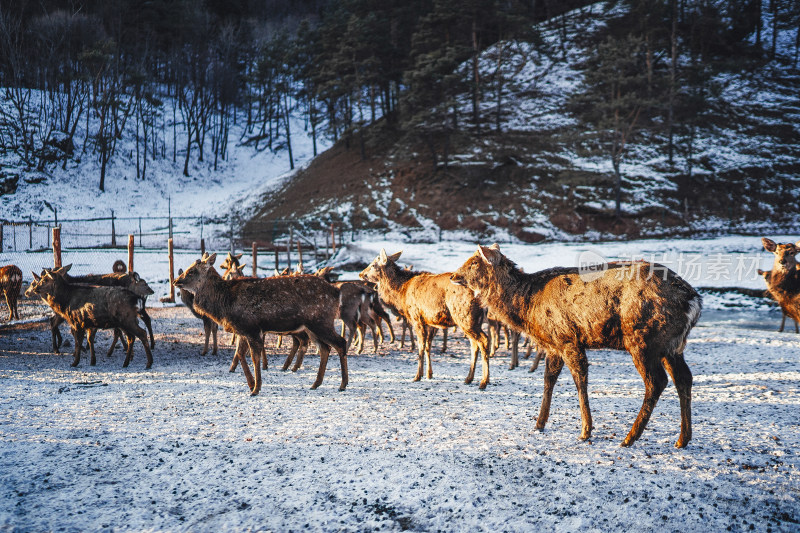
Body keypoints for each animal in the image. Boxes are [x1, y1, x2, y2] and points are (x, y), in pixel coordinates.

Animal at [25, 268, 153, 368]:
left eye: (45, 280)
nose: (35, 289)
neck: (65, 301)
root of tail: (137, 298)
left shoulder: (77, 321)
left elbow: (78, 342)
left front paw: (75, 362)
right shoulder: (89, 324)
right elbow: (89, 340)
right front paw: (92, 361)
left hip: (127, 319)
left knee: (141, 333)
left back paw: (148, 363)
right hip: (125, 321)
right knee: (131, 337)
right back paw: (126, 362)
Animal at [172, 254, 346, 394]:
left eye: (192, 271)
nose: (175, 281)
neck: (225, 303)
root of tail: (336, 292)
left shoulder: (251, 328)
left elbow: (254, 358)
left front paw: (256, 388)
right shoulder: (242, 330)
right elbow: (240, 355)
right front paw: (251, 384)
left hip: (321, 321)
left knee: (340, 343)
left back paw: (343, 384)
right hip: (312, 327)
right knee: (325, 348)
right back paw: (316, 383)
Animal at [360, 247, 490, 388]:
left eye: (373, 264)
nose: (361, 274)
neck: (401, 293)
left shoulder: (416, 317)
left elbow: (421, 346)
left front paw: (417, 376)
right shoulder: (430, 321)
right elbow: (428, 346)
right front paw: (429, 374)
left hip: (464, 316)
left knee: (484, 340)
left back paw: (484, 381)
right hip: (472, 320)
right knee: (474, 344)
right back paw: (469, 378)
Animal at [450, 245, 700, 448]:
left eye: (474, 262)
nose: (453, 275)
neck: (529, 307)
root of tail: (694, 301)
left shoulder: (568, 338)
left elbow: (580, 381)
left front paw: (585, 430)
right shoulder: (553, 345)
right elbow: (548, 380)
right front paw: (539, 423)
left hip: (643, 339)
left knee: (656, 381)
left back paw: (630, 437)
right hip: (671, 346)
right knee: (684, 378)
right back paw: (682, 439)